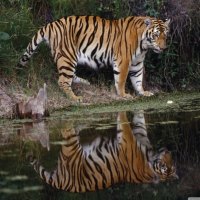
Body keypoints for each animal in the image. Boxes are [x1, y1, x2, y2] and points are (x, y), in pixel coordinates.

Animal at [18, 16, 170, 101]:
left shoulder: (137, 62)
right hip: (67, 57)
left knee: (69, 76)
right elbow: (121, 80)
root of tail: (51, 24)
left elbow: (138, 79)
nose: (163, 48)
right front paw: (124, 95)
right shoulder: (124, 60)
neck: (144, 45)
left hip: (66, 59)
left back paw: (85, 82)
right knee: (63, 81)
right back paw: (75, 98)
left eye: (165, 35)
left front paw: (143, 93)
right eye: (156, 35)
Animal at [27, 111, 178, 192]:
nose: (168, 151)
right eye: (166, 164)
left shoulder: (128, 141)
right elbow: (138, 123)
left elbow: (124, 123)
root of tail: (62, 183)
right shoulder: (138, 137)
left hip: (71, 145)